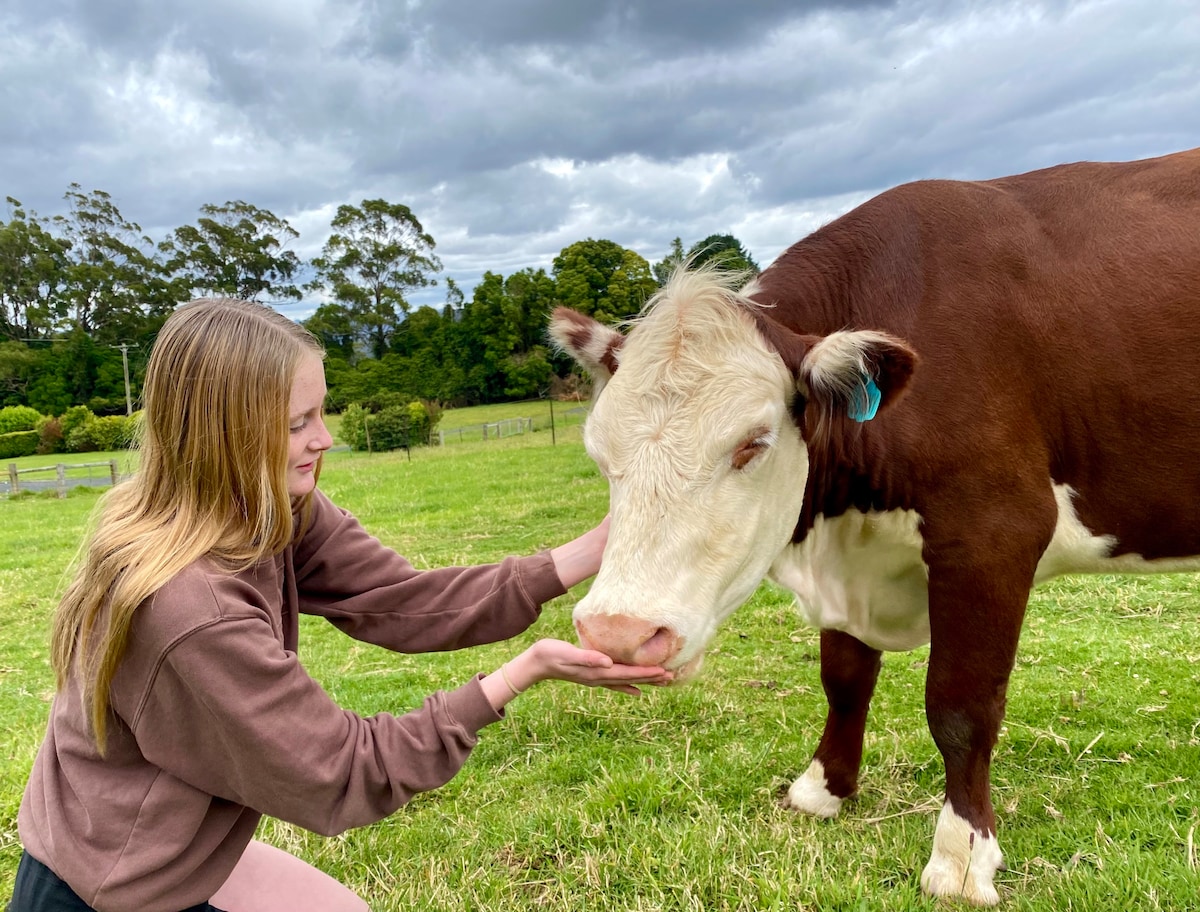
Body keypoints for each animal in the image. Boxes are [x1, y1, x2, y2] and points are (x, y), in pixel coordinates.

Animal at [549, 149, 1200, 907]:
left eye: (753, 443)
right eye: (600, 453)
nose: (617, 635)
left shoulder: (994, 534)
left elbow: (960, 706)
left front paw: (962, 855)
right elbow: (844, 676)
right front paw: (824, 788)